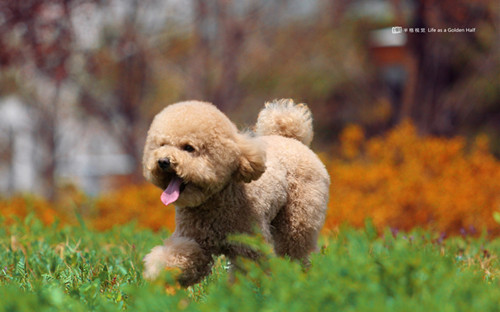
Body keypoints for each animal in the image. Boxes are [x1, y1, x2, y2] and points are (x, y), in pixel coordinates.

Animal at [143, 99, 330, 286]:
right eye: (162, 145)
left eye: (188, 148)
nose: (163, 161)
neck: (216, 199)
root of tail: (290, 138)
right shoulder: (194, 237)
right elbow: (183, 254)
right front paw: (162, 274)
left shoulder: (248, 242)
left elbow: (249, 270)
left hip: (299, 218)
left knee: (297, 249)